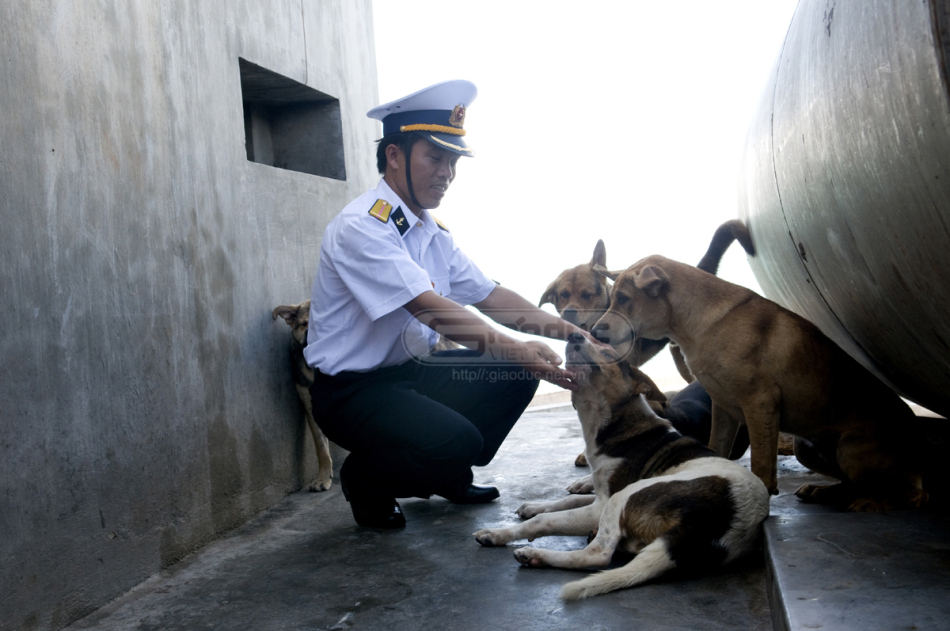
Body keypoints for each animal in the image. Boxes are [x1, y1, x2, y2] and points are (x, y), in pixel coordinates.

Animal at [596, 254, 928, 512]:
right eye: (612, 300)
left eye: (623, 300)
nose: (596, 332)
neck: (700, 323)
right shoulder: (723, 408)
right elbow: (715, 446)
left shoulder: (760, 403)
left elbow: (761, 463)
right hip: (806, 446)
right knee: (853, 483)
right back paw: (825, 491)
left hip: (851, 449)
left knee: (912, 493)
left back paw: (873, 502)